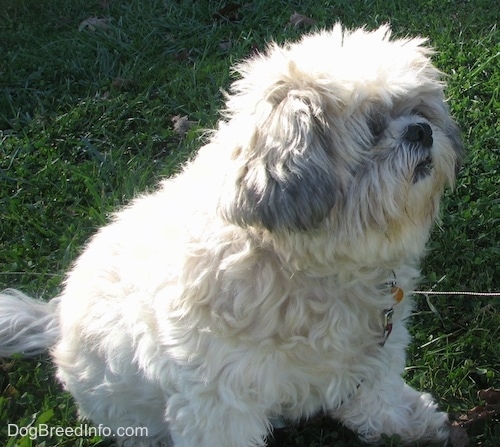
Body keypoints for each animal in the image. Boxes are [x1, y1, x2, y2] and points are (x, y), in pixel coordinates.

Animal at [0, 24, 460, 447]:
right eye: (374, 127)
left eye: (419, 109)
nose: (421, 130)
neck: (299, 266)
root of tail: (55, 320)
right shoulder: (217, 399)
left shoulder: (374, 347)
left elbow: (377, 394)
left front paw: (405, 421)